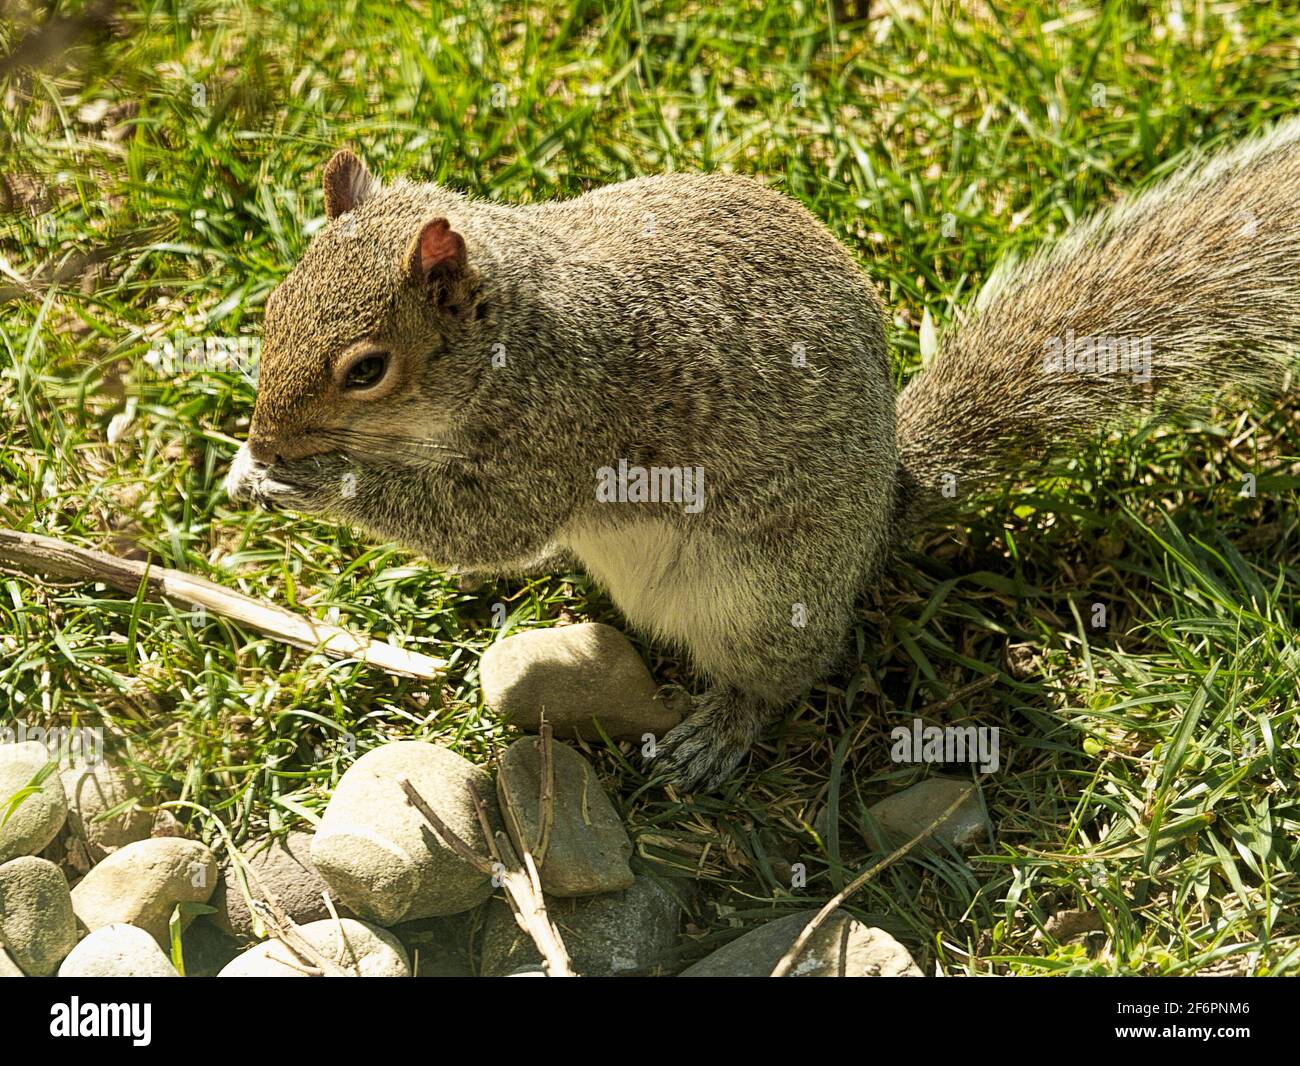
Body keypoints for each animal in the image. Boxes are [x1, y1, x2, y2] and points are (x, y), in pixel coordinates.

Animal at [226, 118, 1300, 792]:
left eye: (366, 369)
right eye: (272, 306)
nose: (266, 437)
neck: (516, 330)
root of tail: (884, 509)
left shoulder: (560, 425)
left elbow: (487, 525)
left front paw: (308, 478)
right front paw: (246, 468)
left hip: (760, 596)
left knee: (779, 677)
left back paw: (718, 731)